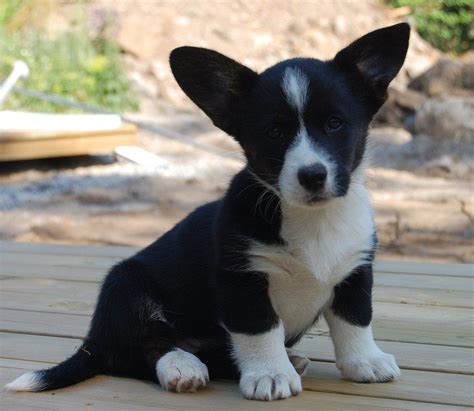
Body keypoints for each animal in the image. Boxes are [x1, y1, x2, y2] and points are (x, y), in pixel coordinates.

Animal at [5, 23, 410, 402]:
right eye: (274, 132)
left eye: (334, 123)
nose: (312, 175)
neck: (312, 220)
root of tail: (94, 342)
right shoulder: (242, 279)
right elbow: (261, 329)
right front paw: (270, 374)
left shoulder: (355, 271)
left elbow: (354, 320)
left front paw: (365, 362)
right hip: (126, 285)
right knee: (140, 350)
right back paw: (181, 366)